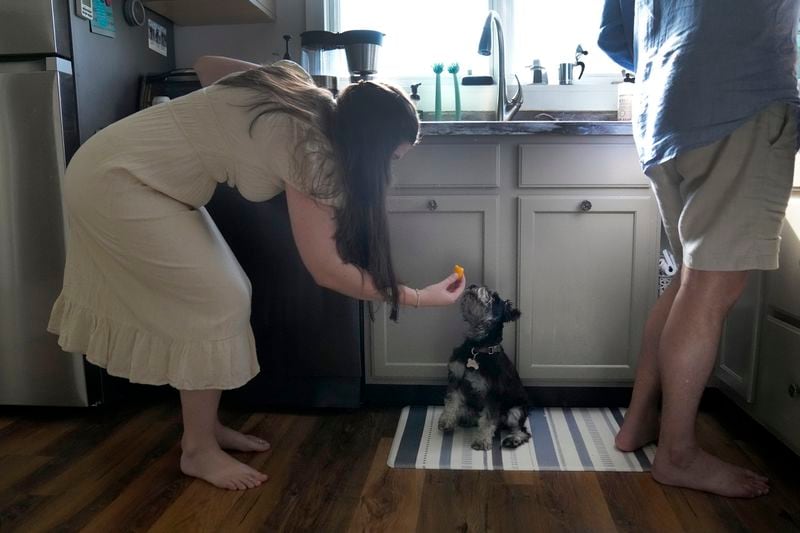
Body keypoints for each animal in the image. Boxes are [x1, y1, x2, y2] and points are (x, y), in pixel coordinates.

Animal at [438, 282, 532, 448]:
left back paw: (514, 439)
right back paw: (466, 419)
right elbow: (451, 401)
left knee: (521, 430)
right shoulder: (456, 378)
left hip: (516, 411)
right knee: (470, 413)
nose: (472, 285)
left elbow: (488, 419)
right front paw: (446, 420)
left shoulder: (493, 393)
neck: (478, 347)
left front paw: (481, 440)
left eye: (494, 297)